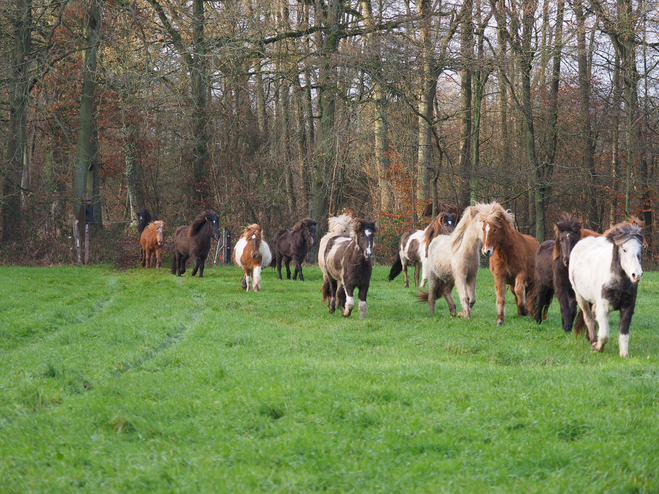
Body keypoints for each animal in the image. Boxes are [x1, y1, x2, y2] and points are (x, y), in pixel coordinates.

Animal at [568, 219, 644, 356]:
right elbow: (604, 335)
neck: (619, 283)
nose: (636, 275)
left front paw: (624, 355)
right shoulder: (603, 307)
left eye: (641, 249)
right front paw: (597, 347)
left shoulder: (628, 307)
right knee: (589, 318)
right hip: (580, 297)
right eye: (624, 249)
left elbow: (624, 334)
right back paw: (593, 340)